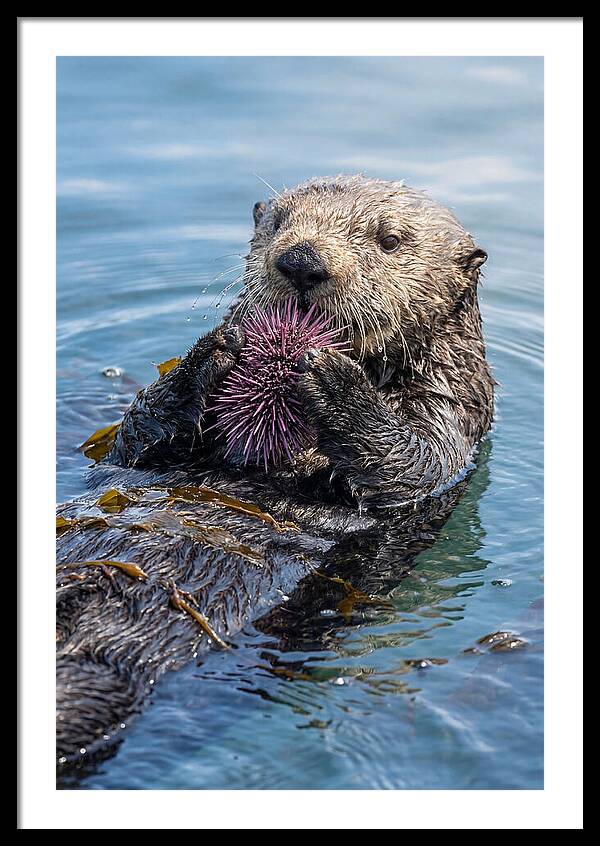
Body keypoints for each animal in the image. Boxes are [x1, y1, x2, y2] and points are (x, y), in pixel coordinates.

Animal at [56, 175, 494, 771]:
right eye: (280, 222)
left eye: (389, 240)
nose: (302, 261)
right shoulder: (139, 451)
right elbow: (135, 438)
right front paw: (213, 350)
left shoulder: (453, 413)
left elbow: (413, 463)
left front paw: (334, 380)